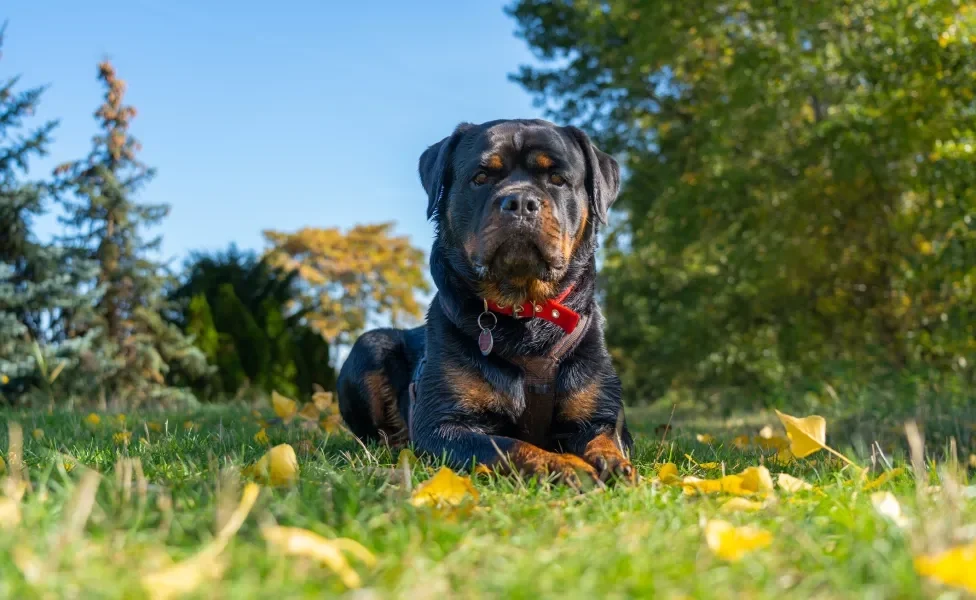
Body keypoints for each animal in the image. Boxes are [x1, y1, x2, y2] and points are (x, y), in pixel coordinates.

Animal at [340, 118, 636, 488]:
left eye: (557, 178)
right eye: (481, 177)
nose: (520, 201)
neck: (525, 313)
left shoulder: (600, 414)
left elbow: (605, 439)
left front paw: (614, 464)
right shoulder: (441, 424)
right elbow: (510, 445)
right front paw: (564, 465)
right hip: (369, 346)